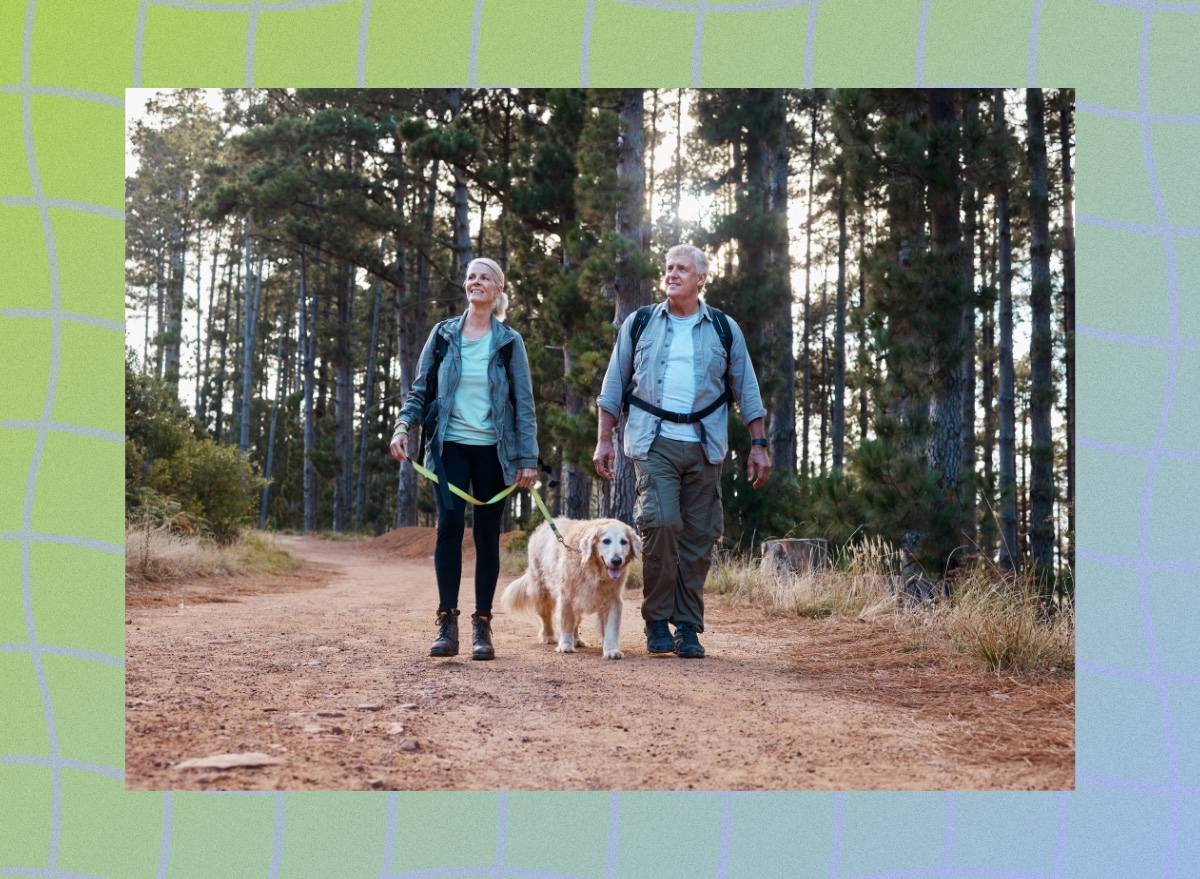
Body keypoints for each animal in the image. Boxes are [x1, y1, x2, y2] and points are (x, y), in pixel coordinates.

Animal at [501, 518, 643, 658]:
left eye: (624, 542)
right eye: (606, 541)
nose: (616, 560)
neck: (593, 569)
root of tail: (542, 526)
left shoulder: (612, 599)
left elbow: (611, 628)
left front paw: (611, 650)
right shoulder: (567, 596)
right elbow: (567, 623)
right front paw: (565, 645)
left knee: (576, 621)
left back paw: (577, 640)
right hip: (542, 592)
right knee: (546, 617)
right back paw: (548, 636)